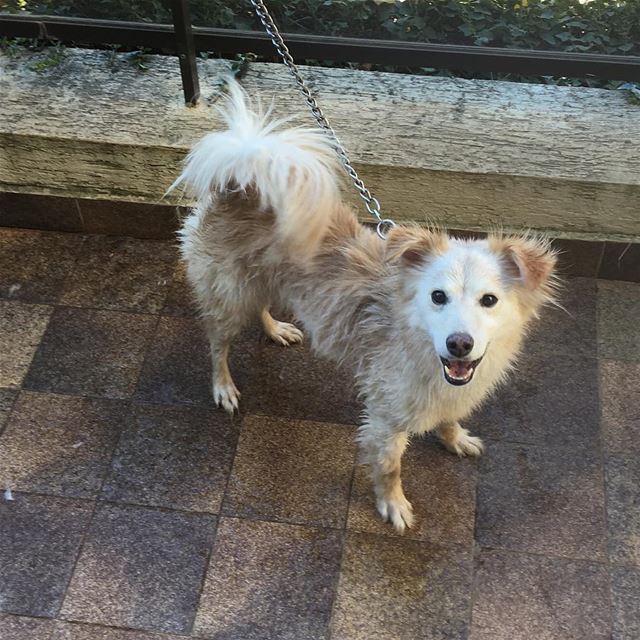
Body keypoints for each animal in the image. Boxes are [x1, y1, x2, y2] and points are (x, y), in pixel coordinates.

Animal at [172, 84, 556, 536]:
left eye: (489, 300)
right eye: (437, 296)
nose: (459, 344)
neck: (419, 347)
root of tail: (241, 182)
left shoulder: (450, 392)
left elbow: (448, 418)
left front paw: (454, 437)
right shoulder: (387, 415)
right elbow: (389, 467)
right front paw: (392, 505)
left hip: (264, 279)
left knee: (262, 306)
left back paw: (275, 329)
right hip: (228, 294)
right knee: (218, 343)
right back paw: (224, 386)